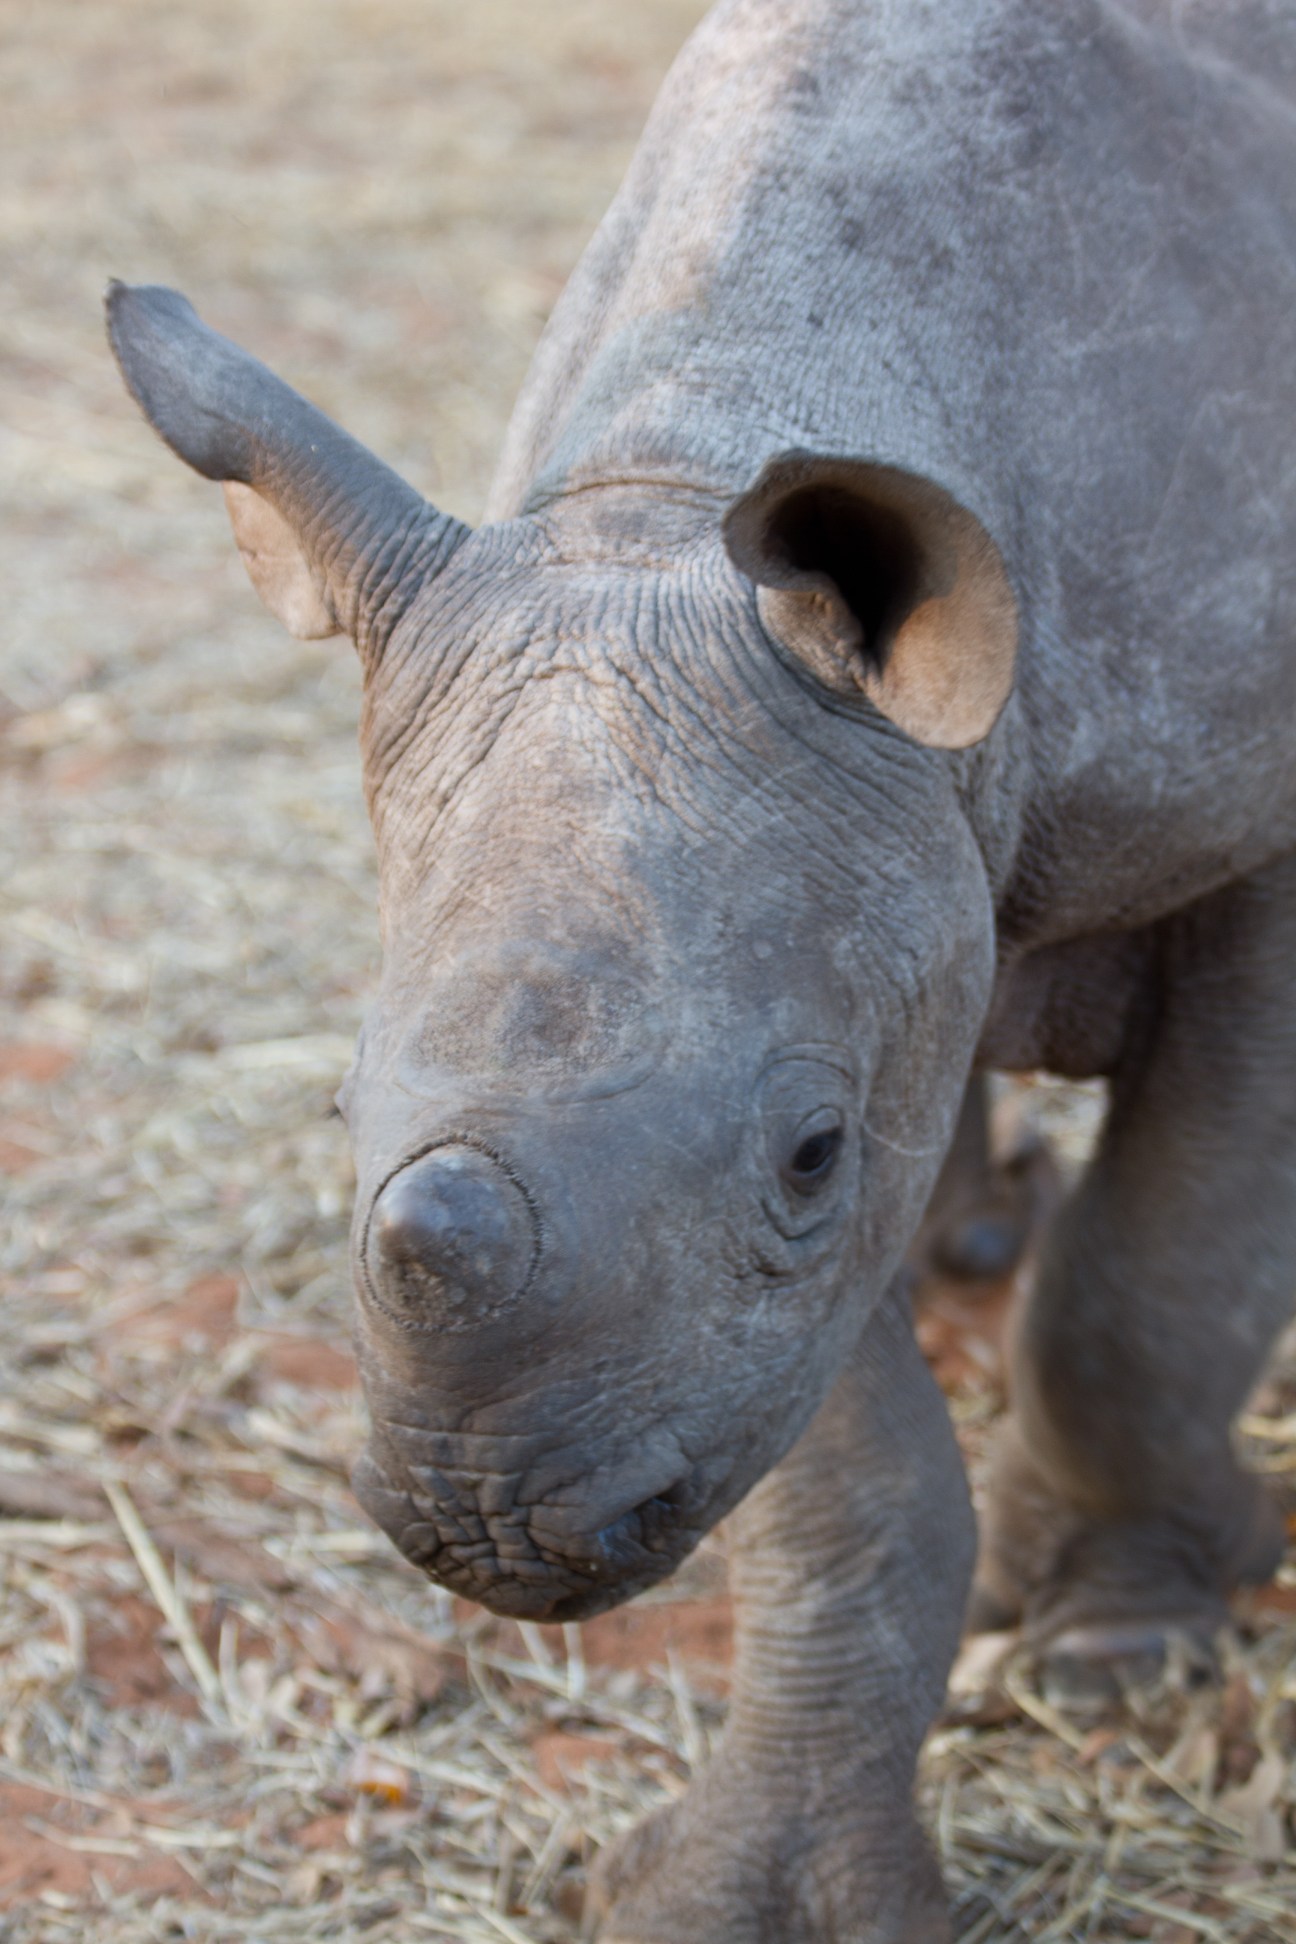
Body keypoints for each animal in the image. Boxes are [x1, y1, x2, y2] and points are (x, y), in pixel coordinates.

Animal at [107, 0, 1296, 1936]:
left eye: (807, 1153)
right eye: (339, 1107)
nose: (491, 1530)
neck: (678, 482)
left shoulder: (1255, 826)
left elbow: (1158, 1279)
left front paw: (1117, 1647)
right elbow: (837, 1460)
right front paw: (728, 1888)